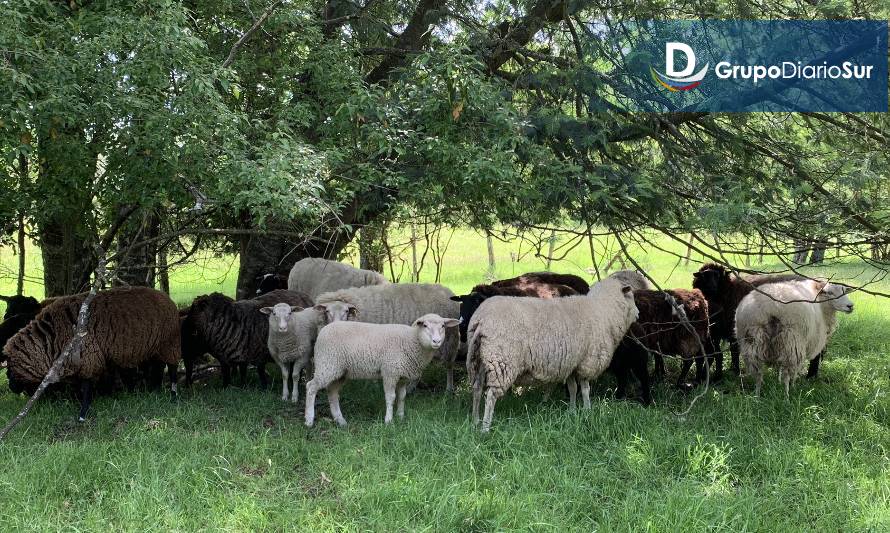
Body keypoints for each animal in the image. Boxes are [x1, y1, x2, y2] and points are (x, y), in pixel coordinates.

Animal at [3, 286, 180, 420]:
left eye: (10, 368)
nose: (11, 388)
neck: (52, 339)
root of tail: (166, 298)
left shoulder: (88, 359)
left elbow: (86, 388)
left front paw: (82, 414)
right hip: (154, 347)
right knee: (157, 368)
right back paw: (154, 390)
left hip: (169, 343)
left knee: (172, 369)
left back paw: (173, 396)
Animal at [179, 286, 310, 386]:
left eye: (193, 333)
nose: (187, 384)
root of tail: (305, 296)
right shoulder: (234, 357)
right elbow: (237, 373)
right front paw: (237, 387)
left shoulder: (259, 353)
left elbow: (259, 372)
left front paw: (264, 387)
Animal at [304, 312, 458, 424]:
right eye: (425, 325)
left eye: (443, 326)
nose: (436, 341)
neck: (412, 340)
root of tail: (323, 330)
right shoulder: (390, 372)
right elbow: (391, 397)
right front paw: (388, 421)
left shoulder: (403, 376)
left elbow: (402, 396)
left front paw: (400, 416)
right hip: (327, 364)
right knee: (311, 386)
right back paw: (309, 420)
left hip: (340, 371)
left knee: (332, 392)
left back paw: (340, 420)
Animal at [316, 282, 462, 390]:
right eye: (327, 311)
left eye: (346, 311)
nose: (335, 326)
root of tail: (447, 291)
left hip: (449, 340)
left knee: (449, 365)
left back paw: (448, 389)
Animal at [464, 278, 640, 432]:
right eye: (631, 297)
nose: (638, 314)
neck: (604, 311)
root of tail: (481, 321)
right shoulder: (587, 362)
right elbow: (585, 389)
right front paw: (587, 411)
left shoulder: (571, 363)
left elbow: (573, 388)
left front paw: (572, 411)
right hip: (501, 361)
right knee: (491, 396)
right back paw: (485, 428)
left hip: (480, 360)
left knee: (477, 390)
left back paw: (474, 421)